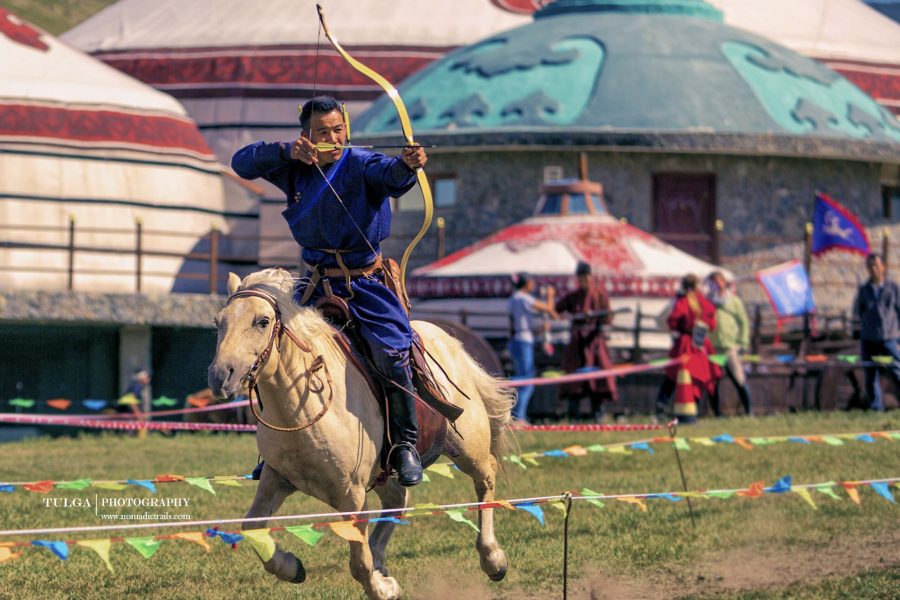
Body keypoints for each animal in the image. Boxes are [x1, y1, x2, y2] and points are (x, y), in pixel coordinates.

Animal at [206, 270, 512, 596]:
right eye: (218, 322)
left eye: (262, 321)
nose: (220, 376)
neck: (304, 409)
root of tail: (446, 340)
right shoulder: (276, 477)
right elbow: (252, 526)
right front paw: (290, 567)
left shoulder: (351, 496)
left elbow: (358, 563)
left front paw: (383, 589)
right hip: (383, 472)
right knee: (398, 498)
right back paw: (381, 558)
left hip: (470, 449)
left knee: (486, 479)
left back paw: (493, 558)